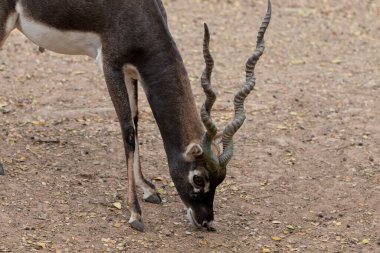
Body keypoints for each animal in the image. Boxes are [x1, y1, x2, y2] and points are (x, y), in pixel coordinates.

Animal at [1, 0, 272, 231]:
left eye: (221, 179)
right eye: (198, 178)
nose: (206, 221)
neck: (136, 11)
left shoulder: (131, 70)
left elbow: (136, 119)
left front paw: (149, 189)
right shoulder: (110, 65)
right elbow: (127, 131)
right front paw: (135, 213)